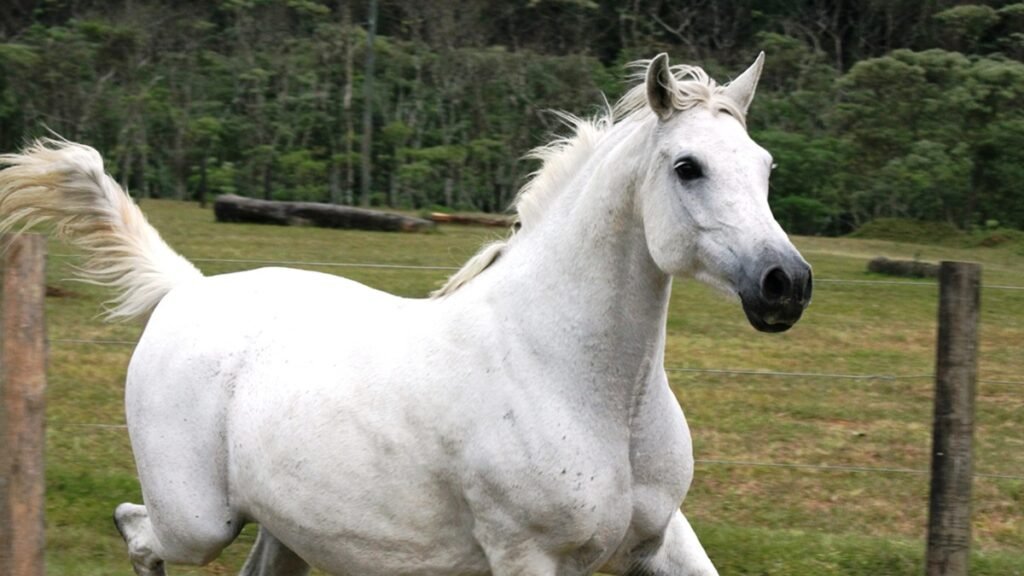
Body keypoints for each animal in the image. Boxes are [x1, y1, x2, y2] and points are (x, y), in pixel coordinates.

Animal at [0, 53, 811, 576]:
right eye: (687, 168)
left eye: (766, 167)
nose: (787, 284)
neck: (587, 387)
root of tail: (186, 289)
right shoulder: (529, 557)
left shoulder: (660, 540)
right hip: (197, 520)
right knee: (136, 533)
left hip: (289, 528)